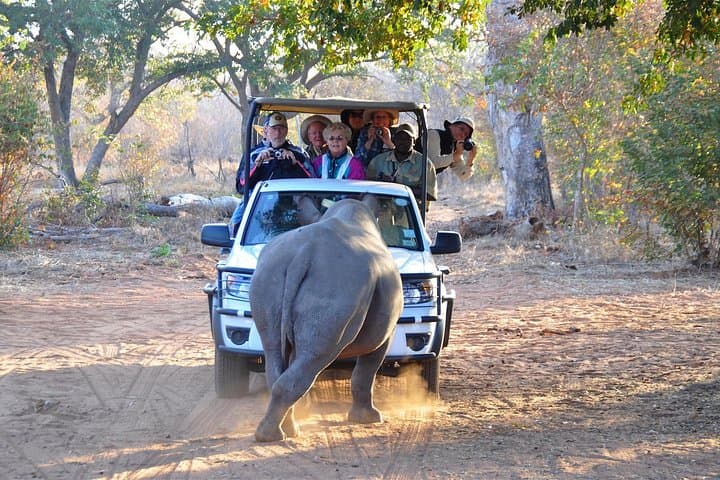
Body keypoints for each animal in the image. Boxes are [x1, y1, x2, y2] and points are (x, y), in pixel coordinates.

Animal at [249, 197, 404, 442]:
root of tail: (303, 254)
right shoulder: (388, 331)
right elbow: (367, 370)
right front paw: (369, 419)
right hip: (339, 282)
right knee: (318, 354)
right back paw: (275, 435)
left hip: (269, 274)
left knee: (274, 349)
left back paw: (283, 432)